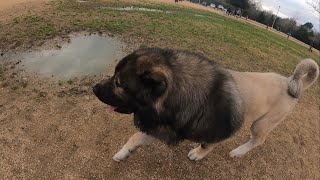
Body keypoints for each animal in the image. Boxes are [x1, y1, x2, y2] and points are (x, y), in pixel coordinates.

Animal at [92, 47, 318, 162]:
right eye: (114, 76)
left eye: (118, 83)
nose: (94, 88)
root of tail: (290, 81)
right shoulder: (164, 125)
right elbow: (134, 137)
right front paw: (123, 153)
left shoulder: (222, 130)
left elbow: (207, 145)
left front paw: (197, 154)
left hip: (261, 123)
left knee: (258, 140)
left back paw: (238, 151)